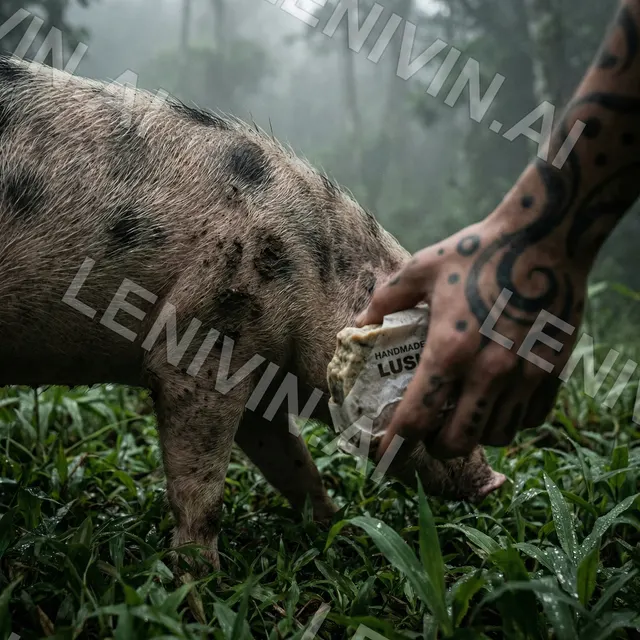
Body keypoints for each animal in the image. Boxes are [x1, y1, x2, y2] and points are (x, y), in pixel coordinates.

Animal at [0, 54, 504, 572]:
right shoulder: (201, 344)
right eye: (432, 373)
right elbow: (201, 486)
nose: (495, 482)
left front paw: (333, 529)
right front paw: (199, 576)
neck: (311, 271)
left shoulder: (263, 381)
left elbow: (291, 459)